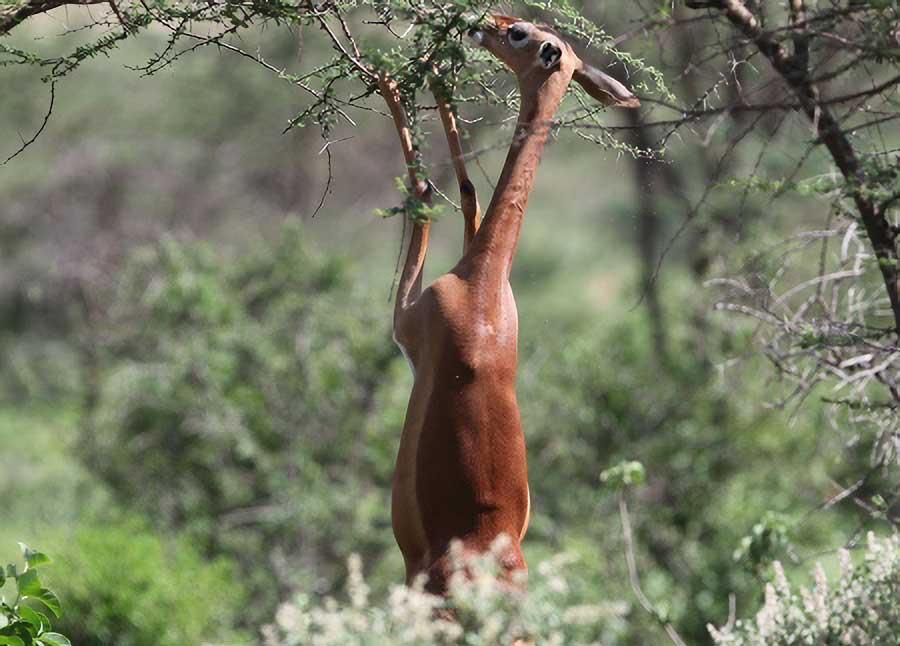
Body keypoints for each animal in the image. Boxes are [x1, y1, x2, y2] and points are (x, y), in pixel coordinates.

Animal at [382, 12, 640, 596]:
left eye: (520, 32)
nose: (480, 23)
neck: (483, 286)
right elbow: (470, 192)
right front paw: (435, 77)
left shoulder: (408, 321)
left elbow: (426, 194)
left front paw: (400, 81)